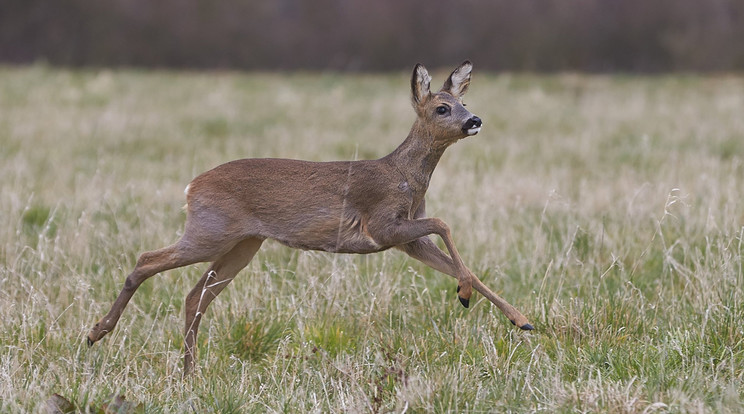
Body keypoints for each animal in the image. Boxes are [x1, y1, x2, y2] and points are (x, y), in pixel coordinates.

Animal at [87, 61, 532, 376]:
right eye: (442, 108)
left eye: (464, 103)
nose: (474, 120)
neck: (404, 177)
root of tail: (190, 186)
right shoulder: (382, 225)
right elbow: (444, 223)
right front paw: (465, 294)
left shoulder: (407, 240)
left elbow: (460, 261)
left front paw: (521, 321)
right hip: (209, 231)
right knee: (146, 261)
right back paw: (97, 332)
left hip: (243, 244)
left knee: (196, 295)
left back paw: (188, 373)